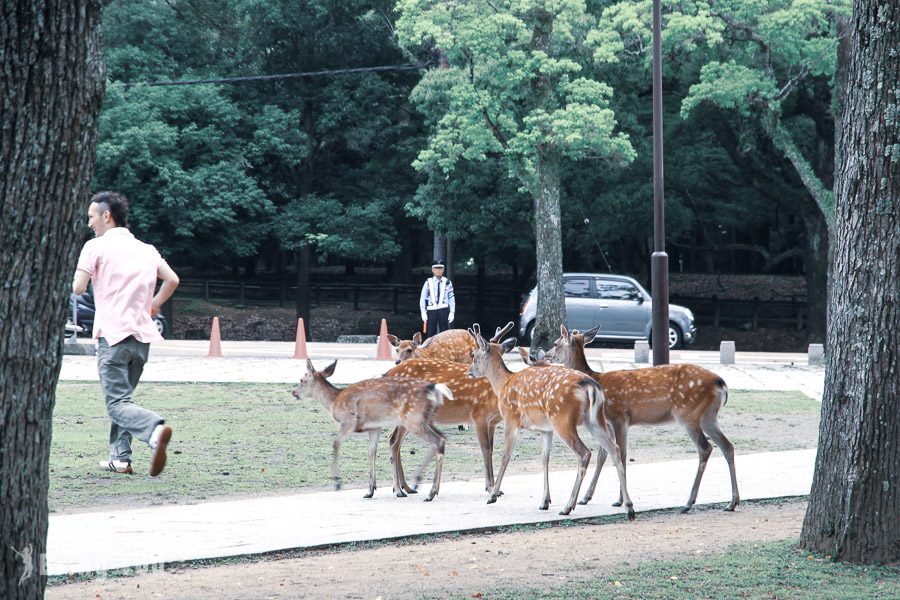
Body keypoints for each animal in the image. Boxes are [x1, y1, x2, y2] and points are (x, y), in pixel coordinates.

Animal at [292, 356, 450, 502]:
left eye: (301, 380)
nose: (294, 392)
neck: (334, 401)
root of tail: (434, 389)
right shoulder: (374, 427)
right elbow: (372, 452)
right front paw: (371, 490)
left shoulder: (348, 421)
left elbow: (336, 444)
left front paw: (337, 483)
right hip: (424, 420)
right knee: (442, 438)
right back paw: (428, 489)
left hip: (413, 420)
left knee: (438, 441)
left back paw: (430, 493)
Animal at [468, 328, 636, 520]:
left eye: (474, 355)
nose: (469, 371)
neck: (503, 384)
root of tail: (591, 387)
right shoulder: (545, 429)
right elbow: (544, 458)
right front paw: (544, 502)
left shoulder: (512, 419)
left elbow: (505, 456)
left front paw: (493, 495)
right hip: (595, 420)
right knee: (614, 449)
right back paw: (629, 507)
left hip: (562, 419)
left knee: (585, 453)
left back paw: (568, 506)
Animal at [544, 326, 740, 512]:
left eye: (555, 343)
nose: (546, 355)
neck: (595, 377)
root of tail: (722, 384)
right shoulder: (607, 422)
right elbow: (604, 455)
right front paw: (587, 497)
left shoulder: (619, 417)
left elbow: (621, 454)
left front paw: (620, 500)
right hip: (708, 417)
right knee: (727, 446)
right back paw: (732, 502)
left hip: (688, 414)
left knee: (705, 448)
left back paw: (689, 503)